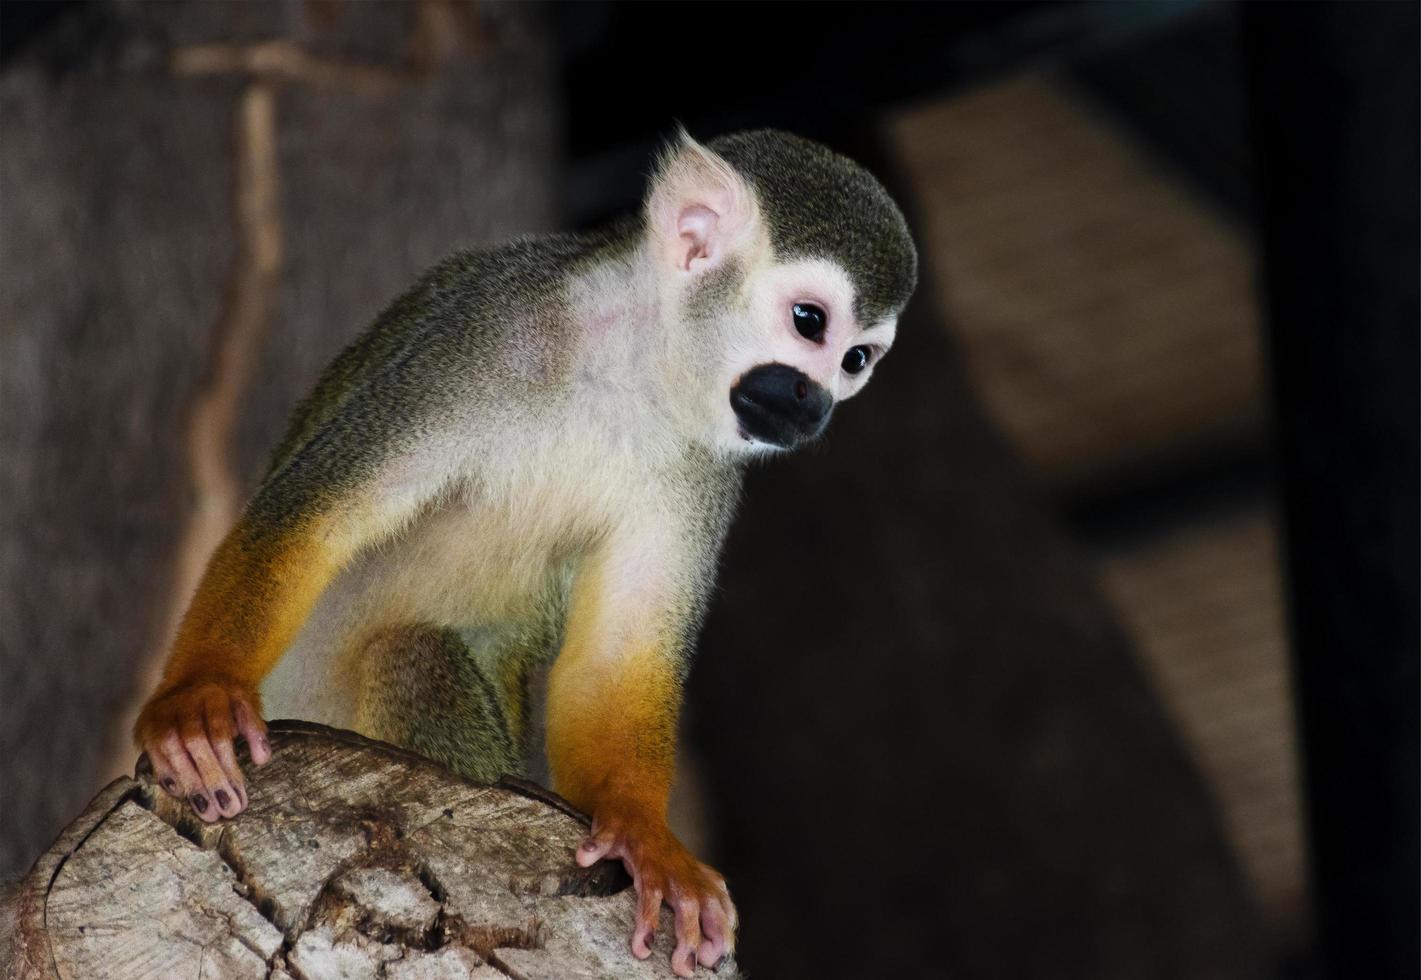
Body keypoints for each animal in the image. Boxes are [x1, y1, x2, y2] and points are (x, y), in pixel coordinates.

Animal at [135, 131, 920, 977]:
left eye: (856, 361)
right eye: (809, 323)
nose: (814, 404)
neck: (631, 365)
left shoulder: (705, 469)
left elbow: (615, 658)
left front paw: (647, 839)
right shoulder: (481, 335)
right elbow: (313, 517)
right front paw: (197, 696)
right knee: (408, 652)